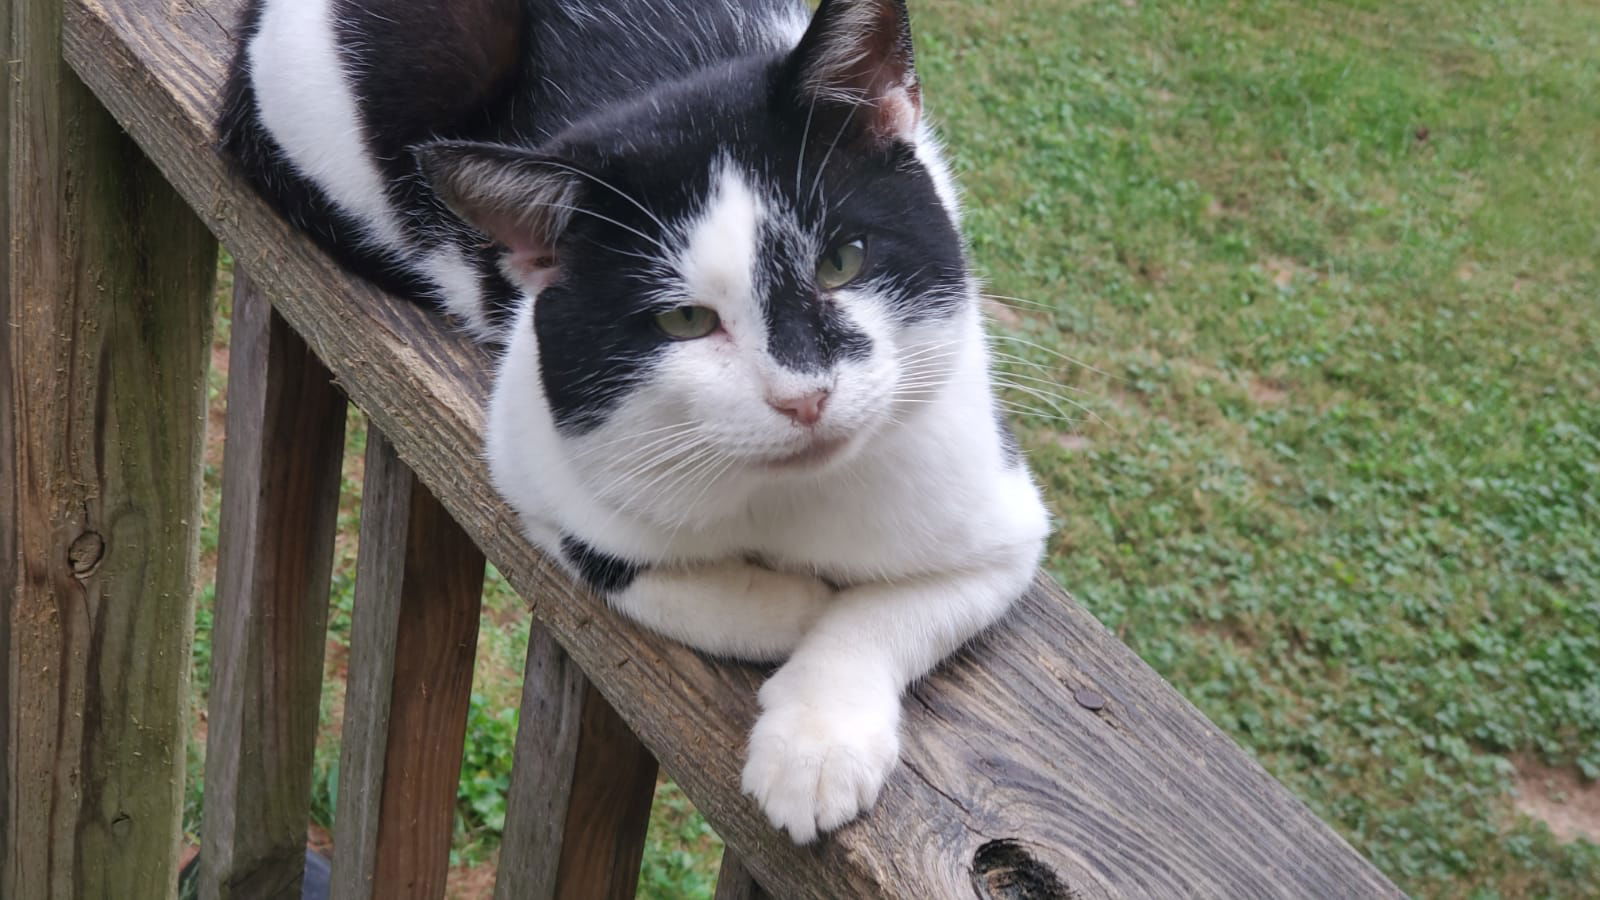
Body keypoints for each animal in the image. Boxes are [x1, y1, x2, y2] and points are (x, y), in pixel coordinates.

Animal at [222, 0, 1049, 839]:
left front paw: (816, 742)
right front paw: (796, 607)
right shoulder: (533, 456)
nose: (803, 397)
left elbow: (894, 609)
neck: (783, 497)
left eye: (841, 262)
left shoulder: (995, 510)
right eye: (684, 320)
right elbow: (620, 564)